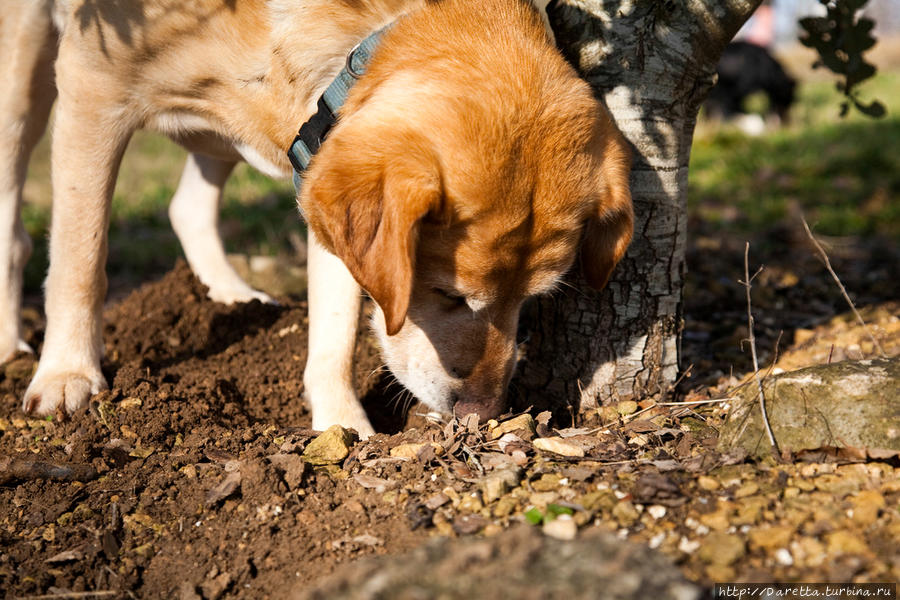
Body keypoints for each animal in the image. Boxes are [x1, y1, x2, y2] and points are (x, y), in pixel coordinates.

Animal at [3, 0, 632, 438]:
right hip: (22, 75)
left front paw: (343, 426)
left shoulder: (320, 158)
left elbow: (336, 326)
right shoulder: (93, 81)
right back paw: (13, 346)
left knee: (186, 206)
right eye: (449, 294)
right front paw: (67, 376)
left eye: (532, 300)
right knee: (16, 230)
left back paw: (232, 295)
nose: (482, 414)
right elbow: (81, 257)